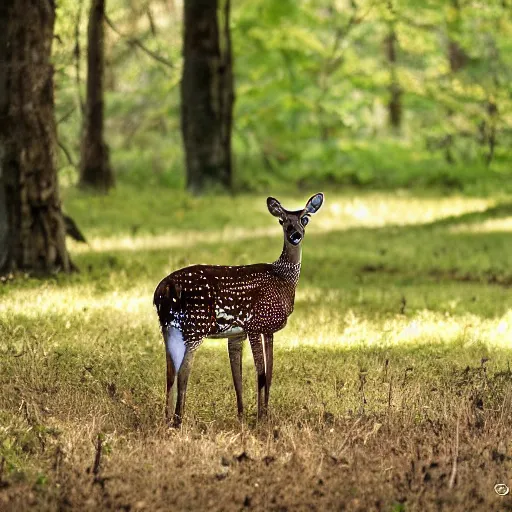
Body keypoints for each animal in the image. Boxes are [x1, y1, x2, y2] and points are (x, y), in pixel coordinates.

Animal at [154, 192, 326, 424]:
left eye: (305, 219)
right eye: (282, 221)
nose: (295, 235)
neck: (284, 278)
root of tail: (163, 290)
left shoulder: (246, 332)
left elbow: (249, 375)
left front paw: (245, 416)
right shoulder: (256, 323)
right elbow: (261, 373)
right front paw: (260, 418)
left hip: (169, 327)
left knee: (169, 373)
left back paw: (166, 420)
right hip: (196, 325)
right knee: (183, 372)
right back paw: (178, 420)